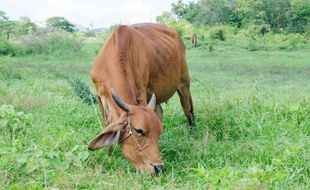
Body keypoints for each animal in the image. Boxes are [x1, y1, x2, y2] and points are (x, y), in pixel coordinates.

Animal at [88, 23, 194, 175]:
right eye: (139, 131)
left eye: (159, 132)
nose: (159, 168)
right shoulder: (100, 97)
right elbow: (106, 123)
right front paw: (109, 153)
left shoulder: (142, 92)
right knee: (160, 111)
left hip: (184, 83)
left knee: (188, 109)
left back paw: (192, 131)